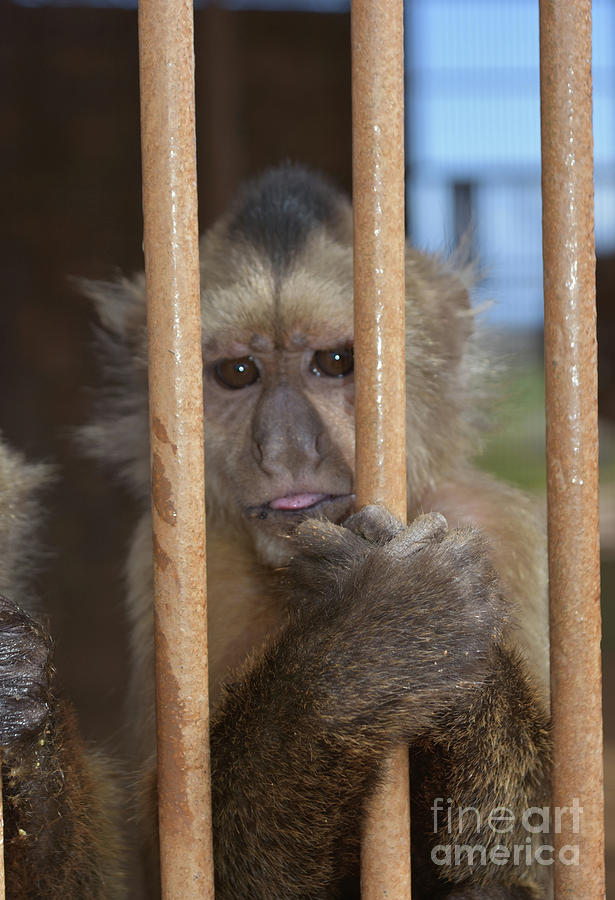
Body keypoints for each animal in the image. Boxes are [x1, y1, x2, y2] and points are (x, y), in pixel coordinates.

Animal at [1, 165, 552, 896]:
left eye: (336, 361)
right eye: (238, 373)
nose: (283, 444)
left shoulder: (491, 521)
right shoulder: (191, 557)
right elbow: (184, 848)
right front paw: (381, 635)